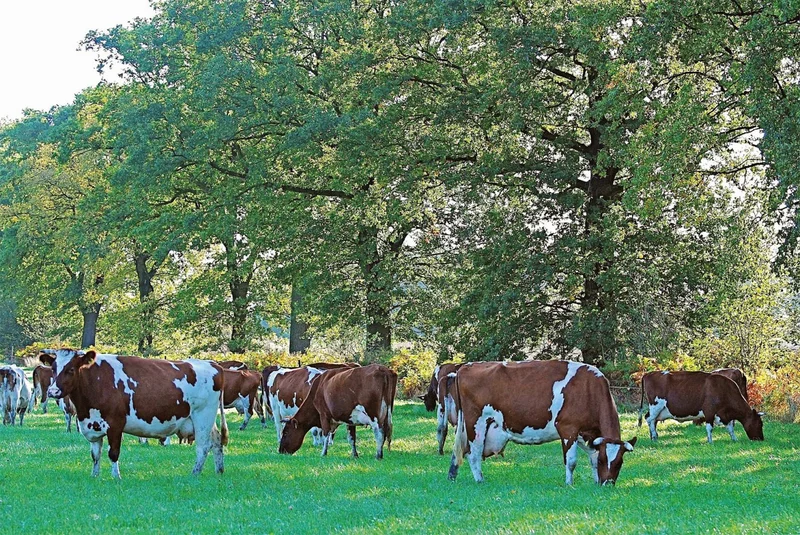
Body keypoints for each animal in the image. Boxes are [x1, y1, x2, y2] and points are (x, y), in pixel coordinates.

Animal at [40, 349, 229, 479]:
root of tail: (213, 364)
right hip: (205, 419)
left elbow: (113, 452)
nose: (53, 391)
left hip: (202, 415)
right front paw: (94, 476)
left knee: (203, 446)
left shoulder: (115, 424)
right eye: (54, 368)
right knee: (217, 441)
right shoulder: (92, 426)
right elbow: (95, 455)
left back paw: (194, 473)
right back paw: (219, 471)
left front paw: (116, 477)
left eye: (71, 369)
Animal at [448, 361, 637, 486]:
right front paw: (569, 484)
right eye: (605, 460)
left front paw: (596, 481)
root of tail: (466, 366)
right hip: (476, 423)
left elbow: (592, 457)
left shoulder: (586, 434)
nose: (608, 484)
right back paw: (480, 480)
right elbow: (571, 461)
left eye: (619, 462)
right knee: (473, 453)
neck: (588, 390)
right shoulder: (568, 428)